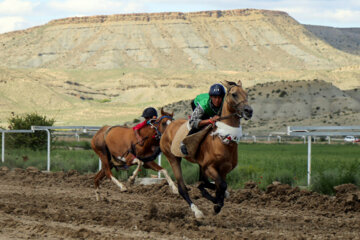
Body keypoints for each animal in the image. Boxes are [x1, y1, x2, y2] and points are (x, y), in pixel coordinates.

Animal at [160, 80, 253, 218]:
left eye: (246, 94)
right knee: (182, 188)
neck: (223, 140)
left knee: (204, 182)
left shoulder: (223, 170)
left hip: (199, 164)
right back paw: (197, 211)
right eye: (234, 94)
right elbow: (221, 185)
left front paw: (217, 201)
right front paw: (216, 205)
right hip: (173, 158)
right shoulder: (210, 167)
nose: (249, 111)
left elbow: (220, 186)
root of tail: (168, 127)